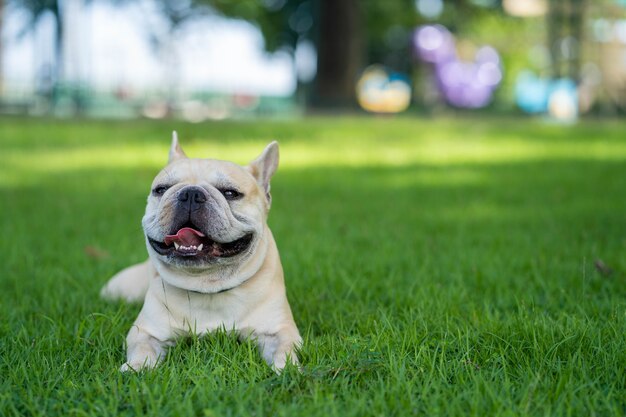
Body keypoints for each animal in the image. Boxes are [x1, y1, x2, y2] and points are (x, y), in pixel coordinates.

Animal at [100, 133, 300, 370]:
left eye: (230, 193)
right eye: (161, 189)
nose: (190, 193)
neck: (207, 286)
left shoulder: (279, 330)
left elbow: (285, 349)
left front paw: (288, 369)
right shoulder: (146, 332)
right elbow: (142, 350)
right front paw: (136, 368)